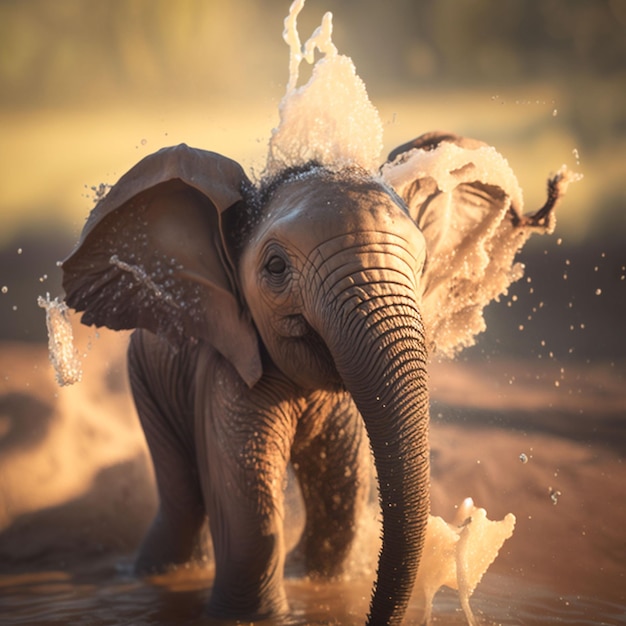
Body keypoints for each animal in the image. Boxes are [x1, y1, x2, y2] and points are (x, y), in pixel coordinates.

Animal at [61, 132, 564, 620]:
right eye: (276, 268)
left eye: (421, 267)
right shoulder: (228, 374)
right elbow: (250, 526)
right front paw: (251, 615)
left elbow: (341, 496)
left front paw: (322, 589)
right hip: (146, 375)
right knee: (183, 502)